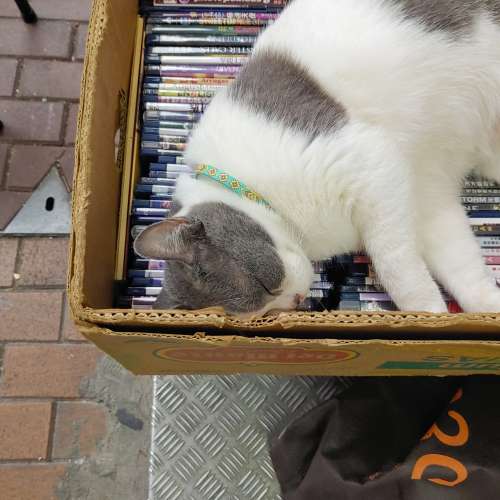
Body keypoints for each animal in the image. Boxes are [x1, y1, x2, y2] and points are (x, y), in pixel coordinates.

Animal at [134, 0, 500, 317]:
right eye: (267, 311)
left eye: (266, 285)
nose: (296, 299)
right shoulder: (425, 192)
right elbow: (459, 261)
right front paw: (483, 309)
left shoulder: (373, 169)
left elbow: (395, 266)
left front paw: (426, 312)